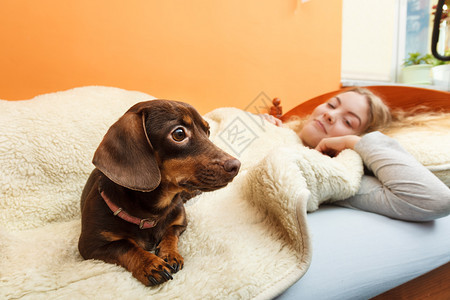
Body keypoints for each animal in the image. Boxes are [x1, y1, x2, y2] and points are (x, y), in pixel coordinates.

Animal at [78, 100, 239, 286]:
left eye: (208, 131)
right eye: (179, 134)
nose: (236, 166)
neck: (153, 212)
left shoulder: (180, 223)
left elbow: (170, 233)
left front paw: (170, 254)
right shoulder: (91, 246)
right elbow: (125, 246)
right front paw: (150, 264)